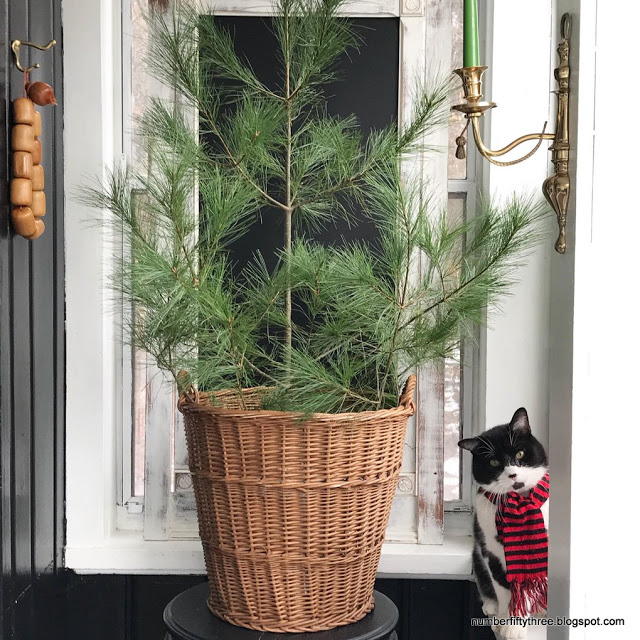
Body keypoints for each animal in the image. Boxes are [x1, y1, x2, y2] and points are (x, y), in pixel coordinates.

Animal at [460, 410, 552, 640]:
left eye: (519, 454)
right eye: (493, 462)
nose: (512, 474)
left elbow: (525, 589)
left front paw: (515, 626)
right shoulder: (490, 553)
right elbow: (502, 588)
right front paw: (503, 619)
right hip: (477, 555)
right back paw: (490, 606)